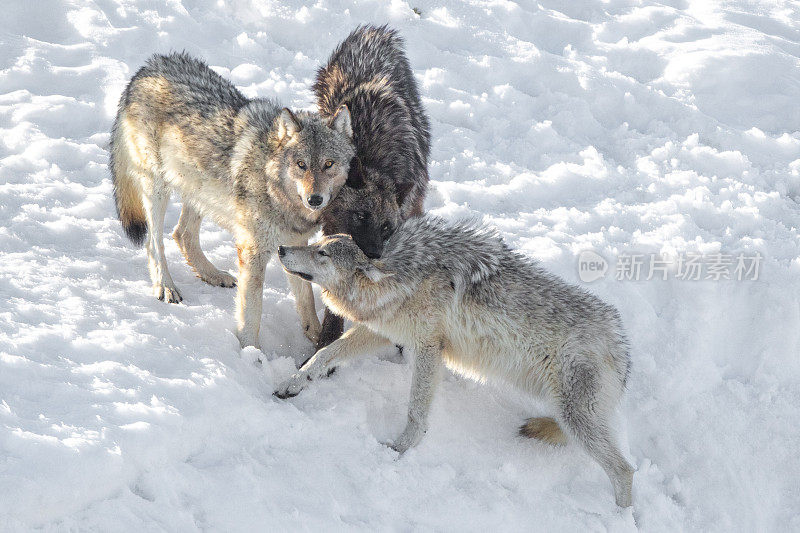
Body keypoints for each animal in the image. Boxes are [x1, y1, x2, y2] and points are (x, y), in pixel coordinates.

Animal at [110, 51, 354, 350]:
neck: (276, 190)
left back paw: (212, 275)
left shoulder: (293, 243)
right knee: (153, 240)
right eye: (301, 164)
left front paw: (317, 337)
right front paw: (251, 353)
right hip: (158, 188)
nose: (315, 199)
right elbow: (252, 313)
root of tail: (148, 67)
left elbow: (306, 298)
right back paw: (165, 286)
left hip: (197, 188)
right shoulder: (252, 252)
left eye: (328, 164)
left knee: (182, 234)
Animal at [276, 217, 636, 508]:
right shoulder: (385, 331)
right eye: (317, 244)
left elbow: (416, 411)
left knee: (624, 470)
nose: (280, 248)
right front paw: (294, 383)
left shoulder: (428, 347)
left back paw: (621, 517)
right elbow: (325, 354)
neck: (402, 282)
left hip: (576, 419)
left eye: (322, 254)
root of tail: (621, 347)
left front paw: (400, 448)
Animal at [310, 25, 432, 350]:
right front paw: (328, 337)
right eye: (361, 216)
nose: (376, 254)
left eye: (387, 227)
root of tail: (374, 31)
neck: (376, 161)